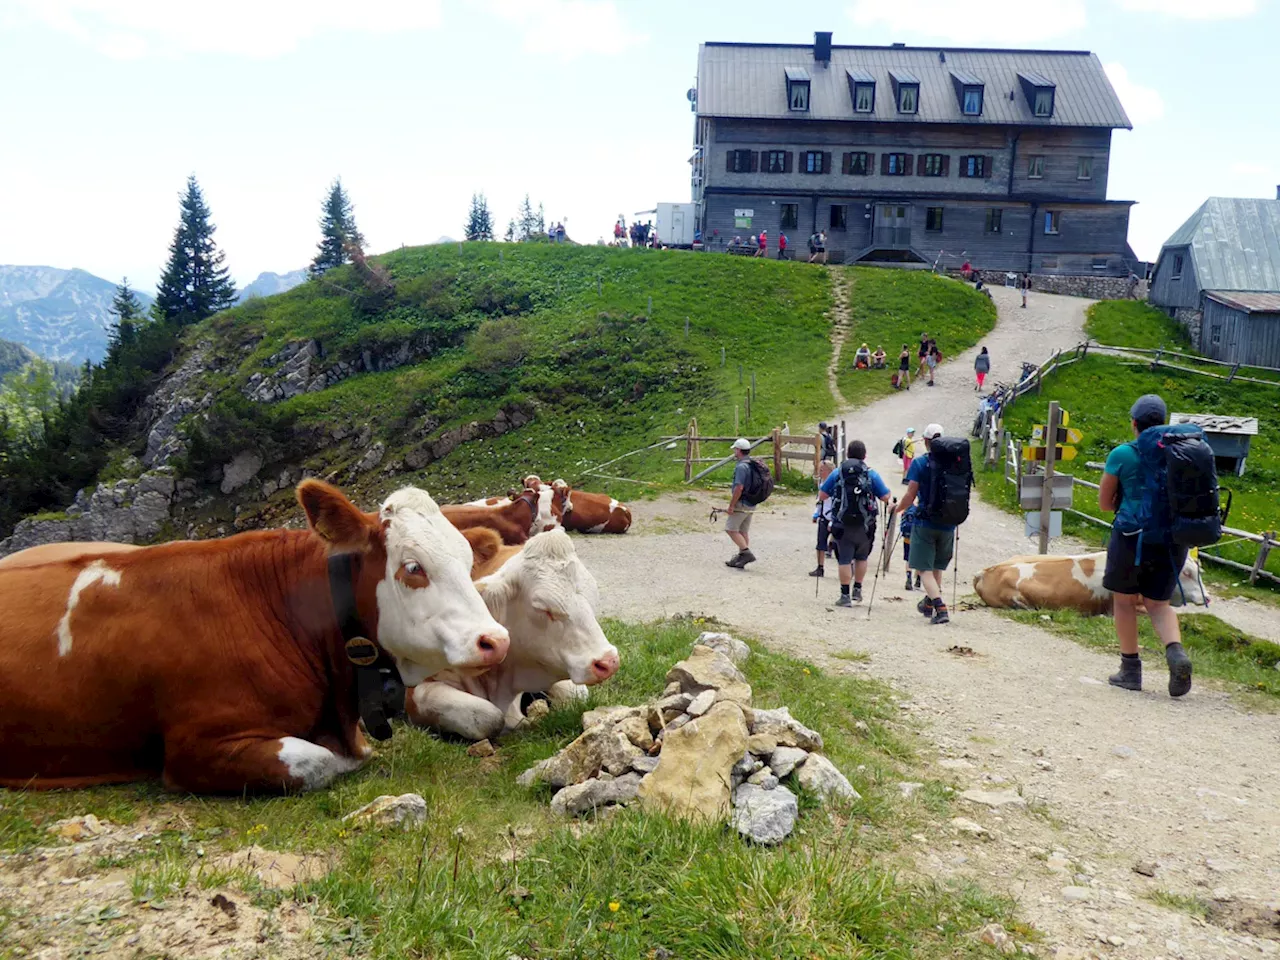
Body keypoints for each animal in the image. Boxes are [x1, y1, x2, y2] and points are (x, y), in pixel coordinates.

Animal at [401, 527, 616, 742]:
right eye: (543, 608)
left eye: (592, 597)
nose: (608, 662)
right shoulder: (416, 692)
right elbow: (489, 717)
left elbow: (574, 695)